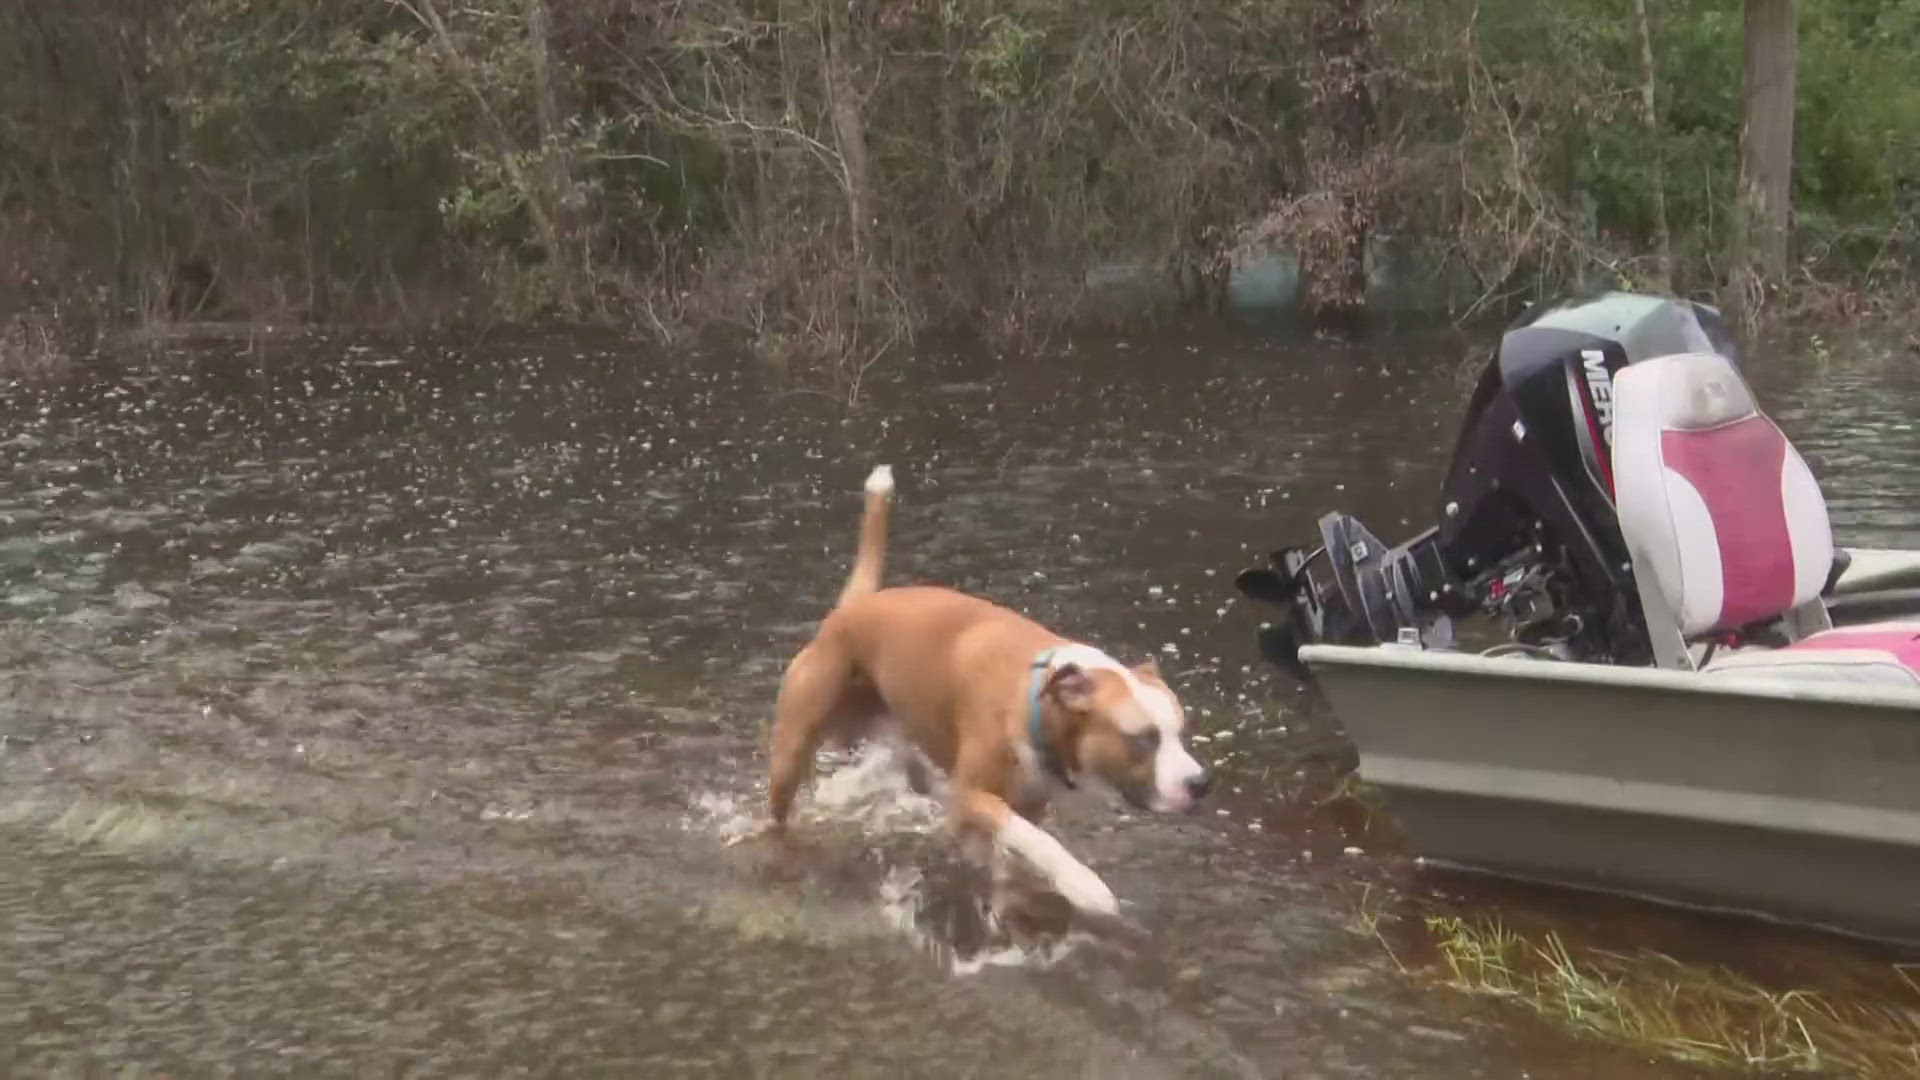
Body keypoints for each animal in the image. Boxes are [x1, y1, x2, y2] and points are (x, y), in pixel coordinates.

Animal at [741, 457, 1205, 922]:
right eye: (1142, 739)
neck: (1032, 697)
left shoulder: (1023, 804)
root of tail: (852, 609)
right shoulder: (975, 798)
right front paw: (1085, 887)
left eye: (1180, 733)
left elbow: (1008, 852)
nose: (1202, 783)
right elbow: (1037, 841)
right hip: (793, 754)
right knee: (781, 809)